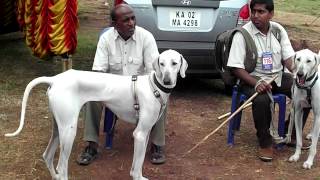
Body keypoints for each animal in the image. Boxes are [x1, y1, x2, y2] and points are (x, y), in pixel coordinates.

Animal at [4, 49, 188, 180]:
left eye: (174, 63)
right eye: (161, 64)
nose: (167, 80)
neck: (154, 86)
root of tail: (55, 79)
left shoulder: (145, 133)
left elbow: (138, 161)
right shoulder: (140, 134)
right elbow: (137, 166)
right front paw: (138, 177)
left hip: (58, 129)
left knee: (47, 156)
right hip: (68, 131)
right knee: (61, 168)